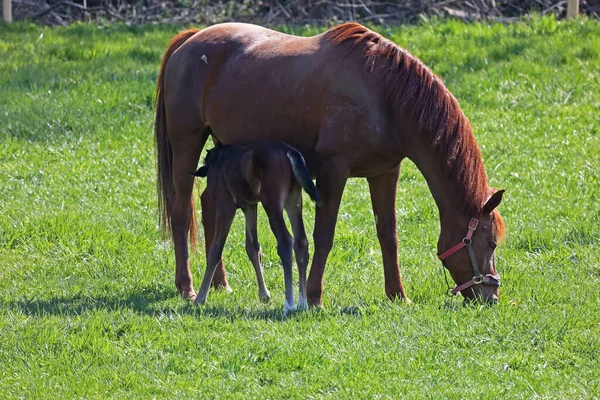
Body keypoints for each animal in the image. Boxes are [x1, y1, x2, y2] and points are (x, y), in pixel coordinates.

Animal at [156, 21, 506, 306]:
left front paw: (397, 294)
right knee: (181, 211)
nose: (491, 296)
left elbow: (388, 235)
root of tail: (190, 39)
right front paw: (313, 296)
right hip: (187, 145)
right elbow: (323, 235)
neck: (383, 93)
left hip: (224, 156)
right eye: (490, 242)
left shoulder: (385, 173)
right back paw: (187, 287)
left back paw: (220, 283)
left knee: (209, 205)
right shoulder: (333, 172)